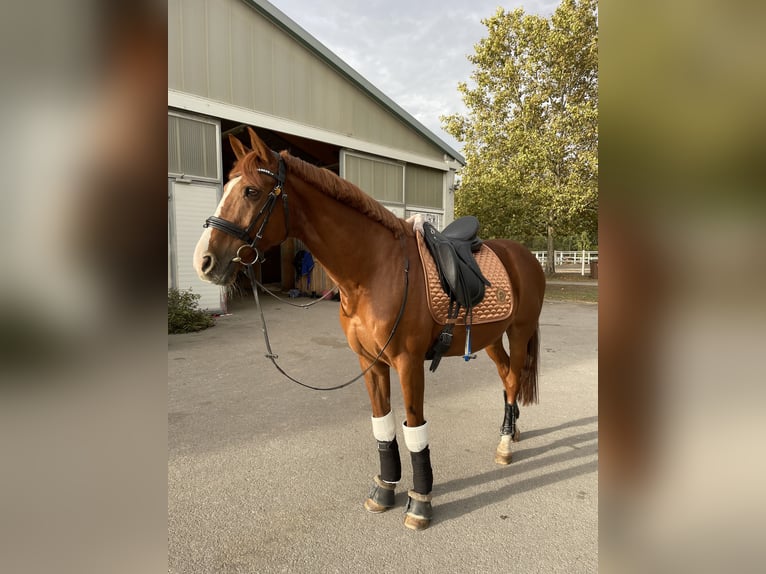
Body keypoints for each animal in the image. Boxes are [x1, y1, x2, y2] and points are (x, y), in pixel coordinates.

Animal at [193, 127, 545, 530]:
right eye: (226, 187)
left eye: (251, 191)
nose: (204, 261)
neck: (375, 272)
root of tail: (526, 255)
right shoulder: (369, 362)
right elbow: (384, 424)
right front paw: (385, 489)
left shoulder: (408, 363)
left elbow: (414, 428)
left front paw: (420, 502)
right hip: (491, 339)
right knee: (506, 379)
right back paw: (511, 431)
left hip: (519, 332)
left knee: (514, 379)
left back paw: (504, 446)